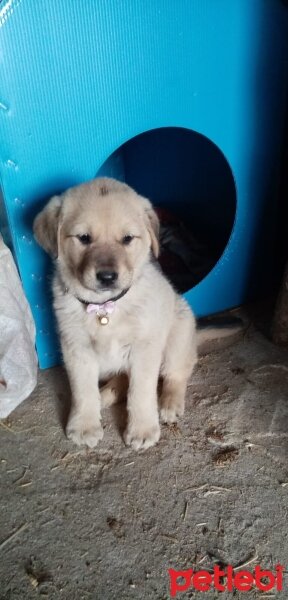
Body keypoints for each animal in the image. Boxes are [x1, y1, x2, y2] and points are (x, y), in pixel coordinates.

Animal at [32, 178, 197, 450]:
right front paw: (84, 425)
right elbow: (83, 390)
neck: (104, 308)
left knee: (177, 372)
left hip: (178, 333)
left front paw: (142, 429)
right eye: (84, 238)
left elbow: (141, 392)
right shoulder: (76, 348)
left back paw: (170, 403)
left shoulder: (144, 348)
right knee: (121, 381)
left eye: (127, 239)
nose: (107, 276)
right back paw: (105, 395)